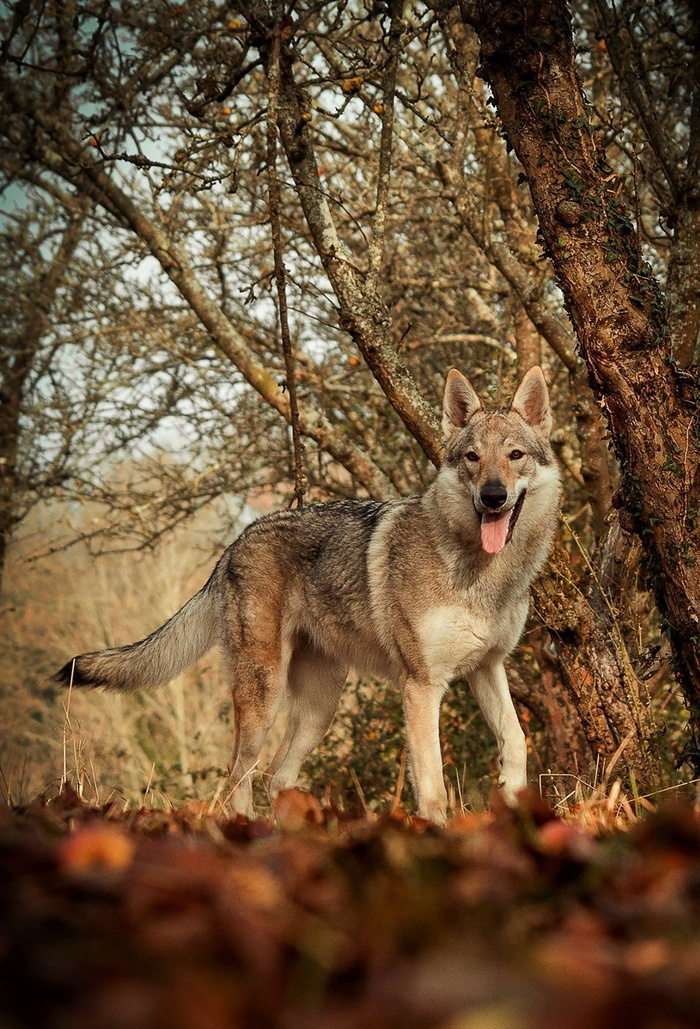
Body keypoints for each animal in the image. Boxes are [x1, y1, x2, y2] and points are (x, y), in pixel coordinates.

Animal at [57, 366, 560, 823]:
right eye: (473, 457)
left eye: (514, 455)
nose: (492, 496)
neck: (482, 573)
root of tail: (236, 543)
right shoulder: (421, 686)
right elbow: (433, 784)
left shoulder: (486, 667)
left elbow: (516, 740)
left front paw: (513, 800)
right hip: (264, 697)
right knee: (239, 773)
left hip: (320, 709)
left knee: (276, 777)